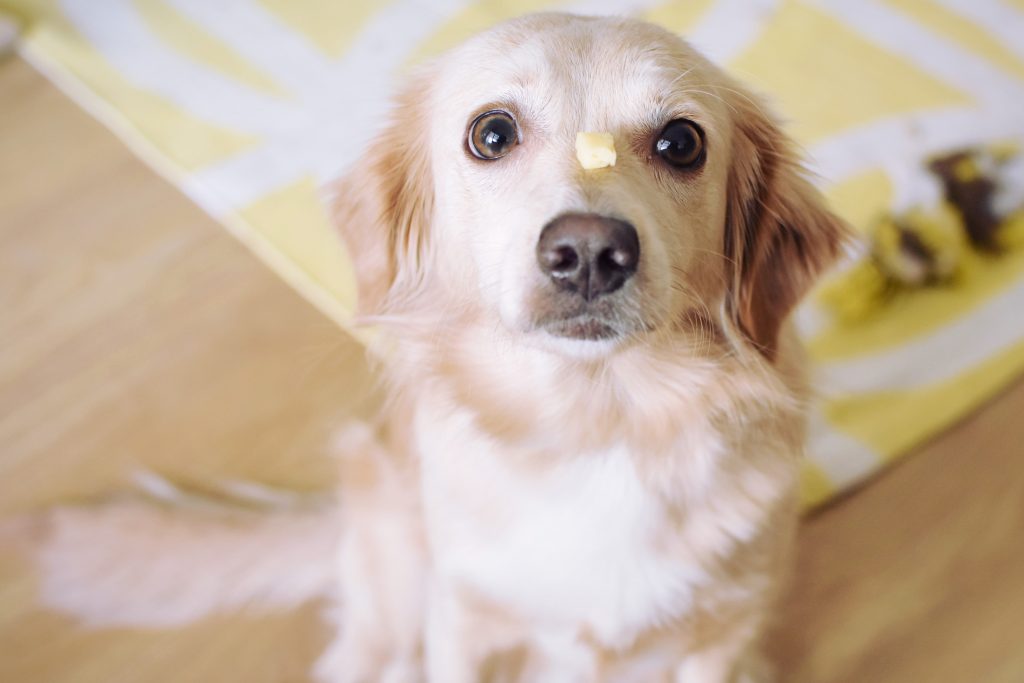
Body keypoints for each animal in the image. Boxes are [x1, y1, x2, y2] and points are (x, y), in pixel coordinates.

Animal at [319, 10, 847, 683]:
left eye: (682, 143)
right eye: (492, 134)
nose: (591, 252)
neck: (598, 421)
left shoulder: (725, 631)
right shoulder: (460, 622)